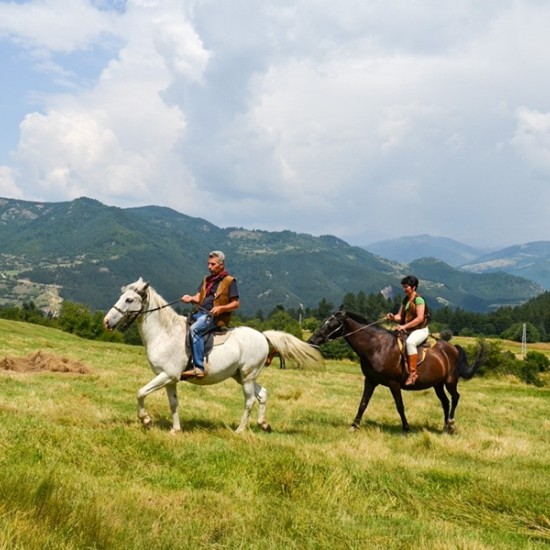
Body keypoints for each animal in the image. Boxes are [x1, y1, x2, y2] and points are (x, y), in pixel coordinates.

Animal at [103, 280, 324, 436]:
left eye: (129, 300)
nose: (106, 321)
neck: (165, 333)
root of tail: (262, 335)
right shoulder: (170, 380)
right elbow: (173, 404)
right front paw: (175, 430)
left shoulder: (167, 375)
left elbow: (140, 393)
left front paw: (146, 420)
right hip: (240, 376)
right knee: (262, 394)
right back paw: (264, 424)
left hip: (247, 376)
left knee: (250, 400)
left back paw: (240, 430)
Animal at [310, 310, 488, 436]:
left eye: (331, 324)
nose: (312, 340)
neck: (377, 347)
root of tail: (453, 348)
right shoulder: (370, 381)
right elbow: (363, 403)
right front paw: (354, 426)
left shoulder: (393, 384)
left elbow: (400, 406)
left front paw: (406, 428)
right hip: (437, 384)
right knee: (445, 402)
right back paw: (444, 428)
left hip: (450, 381)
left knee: (455, 397)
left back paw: (451, 424)